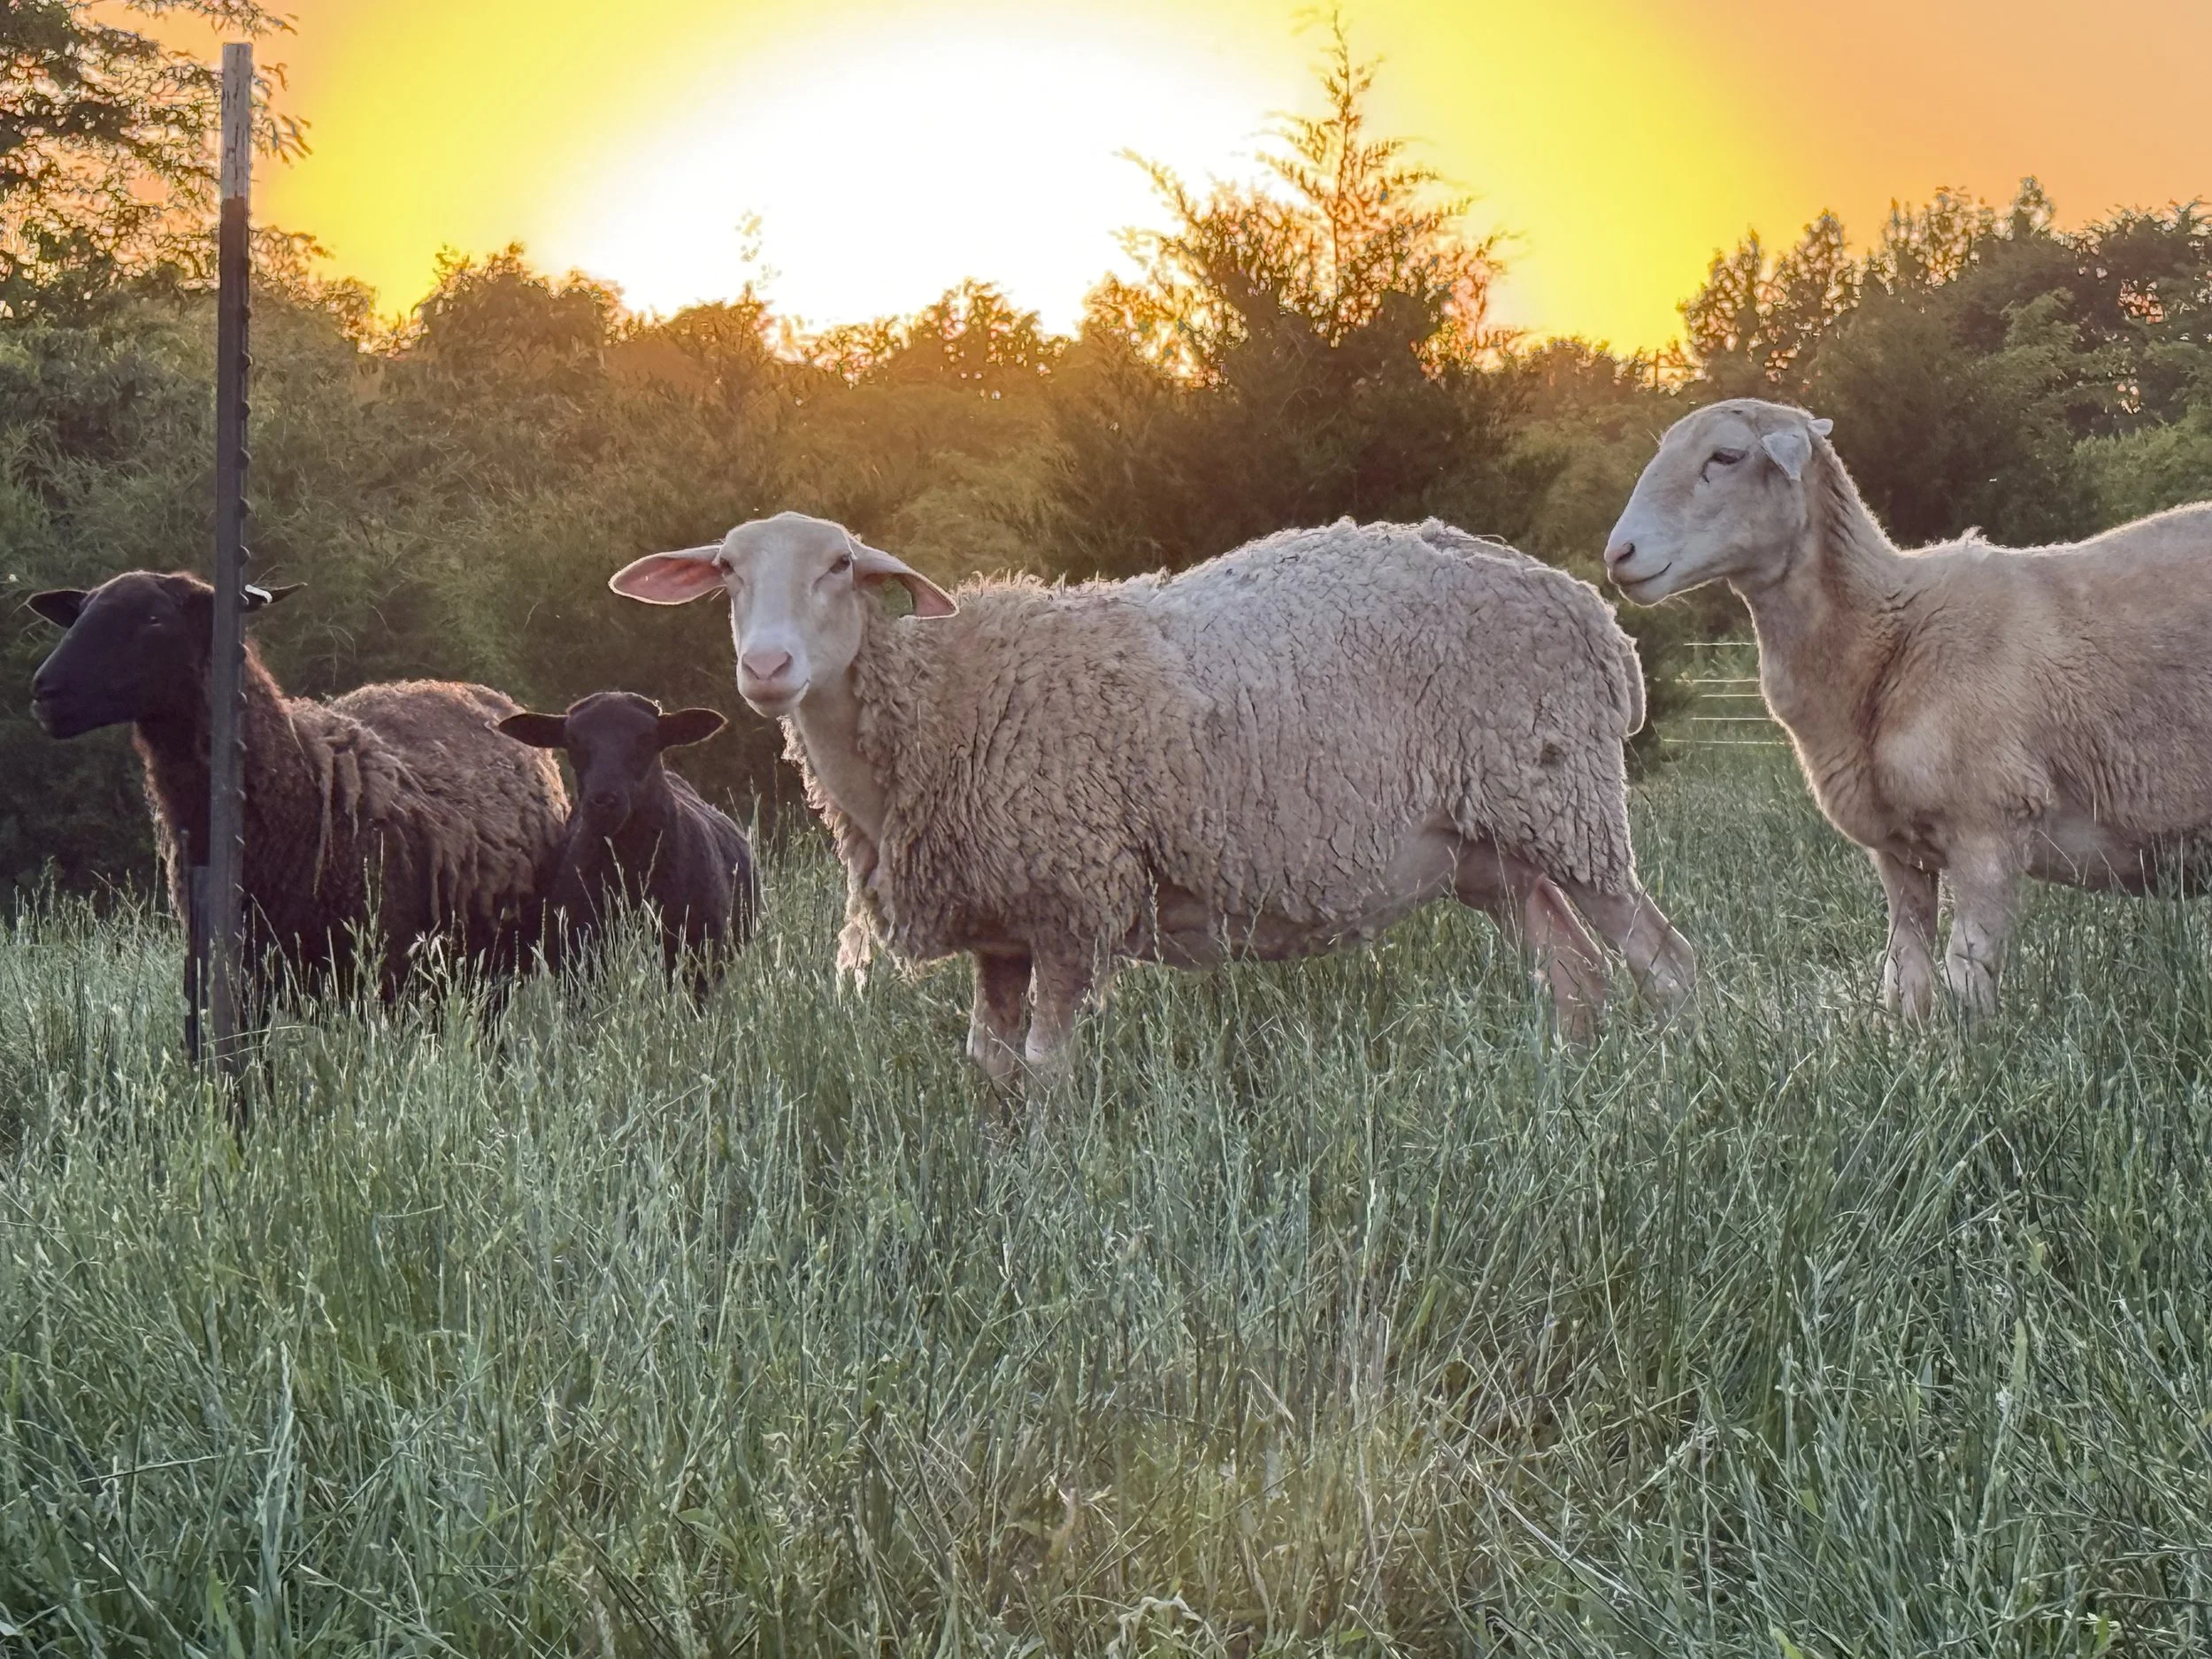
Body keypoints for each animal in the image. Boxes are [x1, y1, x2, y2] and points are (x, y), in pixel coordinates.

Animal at [28, 570, 568, 1004]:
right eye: (77, 616)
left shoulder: (381, 974)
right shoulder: (237, 976)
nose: (44, 691)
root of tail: (473, 690)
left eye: (154, 621)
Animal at [607, 510, 1697, 1080]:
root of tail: (1595, 619)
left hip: (1564, 805)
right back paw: (1564, 1089)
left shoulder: (1071, 899)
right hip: (1490, 849)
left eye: (839, 565)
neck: (934, 706)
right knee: (1574, 974)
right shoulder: (1003, 925)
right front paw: (994, 1177)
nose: (768, 667)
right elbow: (989, 1066)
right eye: (725, 572)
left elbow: (1046, 1065)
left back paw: (1681, 1080)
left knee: (1662, 959)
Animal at [1605, 395, 2212, 1018]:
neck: (1890, 633)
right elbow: (1905, 974)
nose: (1619, 554)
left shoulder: (1990, 822)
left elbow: (1967, 970)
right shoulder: (1900, 850)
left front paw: (1975, 1043)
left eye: (1725, 456)